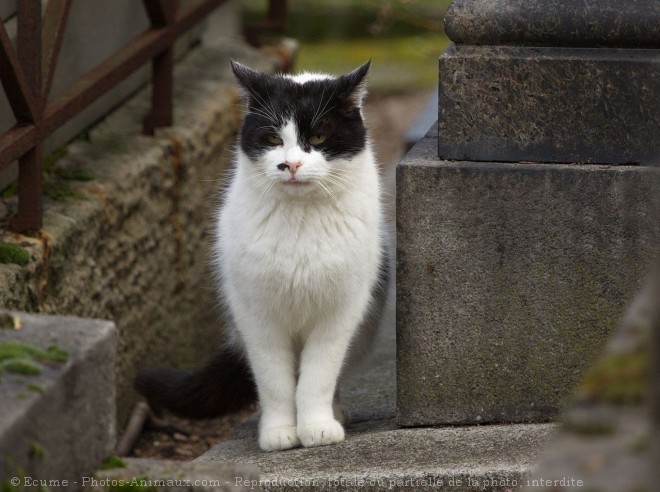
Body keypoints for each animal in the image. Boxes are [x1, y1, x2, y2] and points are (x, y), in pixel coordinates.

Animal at [136, 61, 390, 454]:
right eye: (272, 139)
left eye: (319, 137)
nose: (291, 164)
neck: (300, 220)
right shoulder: (256, 316)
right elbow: (274, 380)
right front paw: (279, 432)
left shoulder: (340, 311)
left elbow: (318, 375)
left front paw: (316, 427)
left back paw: (334, 413)